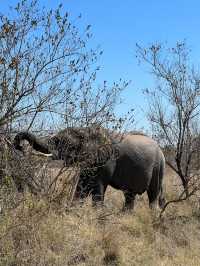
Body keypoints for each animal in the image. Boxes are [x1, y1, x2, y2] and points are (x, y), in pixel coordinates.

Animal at [12, 128, 166, 211]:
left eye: (63, 143)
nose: (20, 146)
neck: (86, 130)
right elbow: (81, 187)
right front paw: (72, 210)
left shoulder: (105, 160)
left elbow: (98, 187)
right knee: (129, 195)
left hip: (158, 167)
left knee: (153, 194)